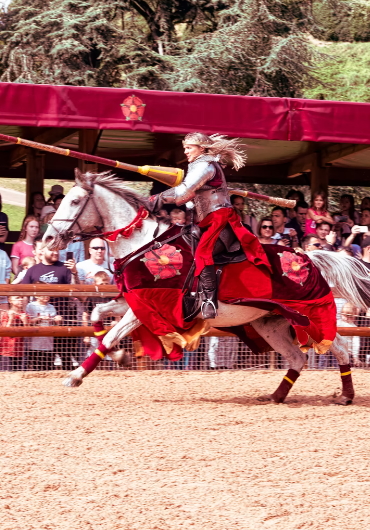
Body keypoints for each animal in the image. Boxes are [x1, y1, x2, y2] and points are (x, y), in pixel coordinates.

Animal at [42, 167, 370, 402]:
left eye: (74, 201)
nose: (48, 239)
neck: (143, 243)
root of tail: (307, 257)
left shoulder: (149, 307)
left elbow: (110, 335)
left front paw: (76, 375)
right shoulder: (132, 301)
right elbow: (99, 316)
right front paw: (119, 356)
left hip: (309, 316)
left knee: (339, 349)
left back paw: (346, 396)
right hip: (270, 323)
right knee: (298, 358)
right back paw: (276, 396)